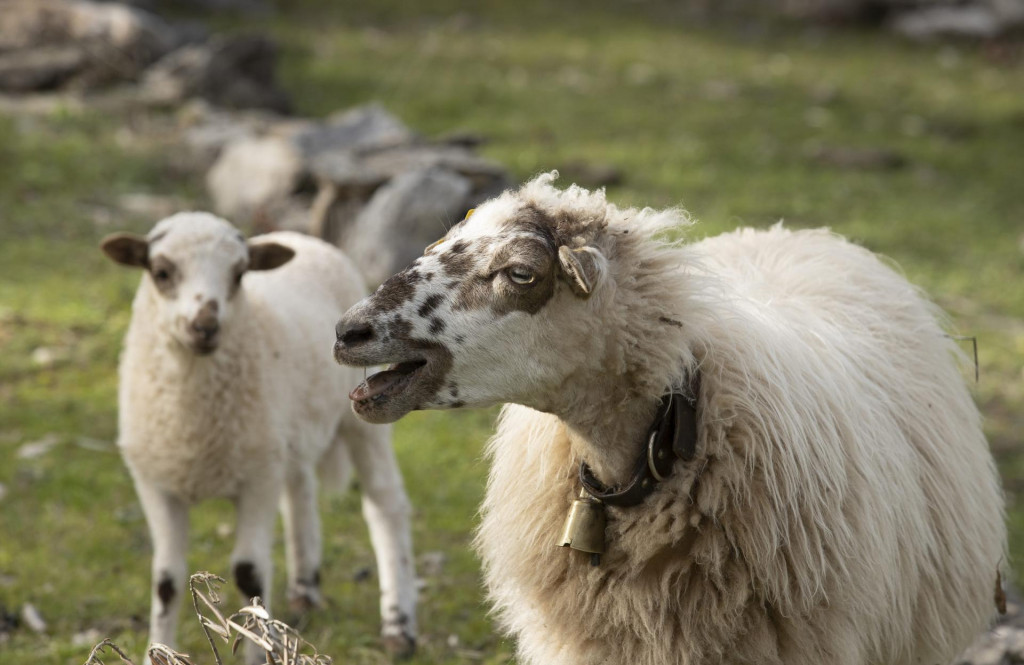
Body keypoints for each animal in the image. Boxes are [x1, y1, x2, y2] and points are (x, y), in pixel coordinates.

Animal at [96, 216, 415, 659]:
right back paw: (304, 592)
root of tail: (302, 237)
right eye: (161, 272)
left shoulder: (257, 480)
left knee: (385, 505)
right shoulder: (157, 482)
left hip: (360, 417)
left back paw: (398, 627)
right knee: (300, 493)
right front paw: (156, 653)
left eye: (239, 274)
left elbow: (249, 576)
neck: (193, 425)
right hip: (284, 434)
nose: (205, 326)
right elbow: (166, 580)